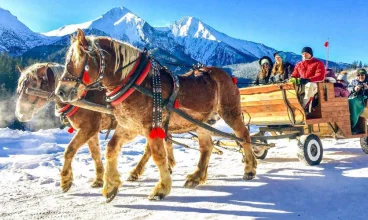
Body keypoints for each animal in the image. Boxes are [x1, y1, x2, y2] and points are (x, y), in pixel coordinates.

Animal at [14, 62, 175, 192]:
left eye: (33, 85)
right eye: (19, 89)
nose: (20, 114)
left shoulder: (88, 128)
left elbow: (70, 150)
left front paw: (65, 181)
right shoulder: (91, 131)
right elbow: (95, 154)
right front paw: (98, 179)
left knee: (151, 147)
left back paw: (139, 171)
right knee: (164, 141)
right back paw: (165, 165)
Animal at [55, 29, 256, 203]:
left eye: (79, 59)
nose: (61, 92)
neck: (135, 83)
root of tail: (228, 76)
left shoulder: (150, 127)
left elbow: (159, 156)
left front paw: (161, 188)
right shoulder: (129, 126)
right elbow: (111, 149)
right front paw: (111, 186)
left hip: (230, 112)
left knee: (244, 135)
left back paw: (250, 168)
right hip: (202, 121)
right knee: (206, 147)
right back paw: (196, 177)